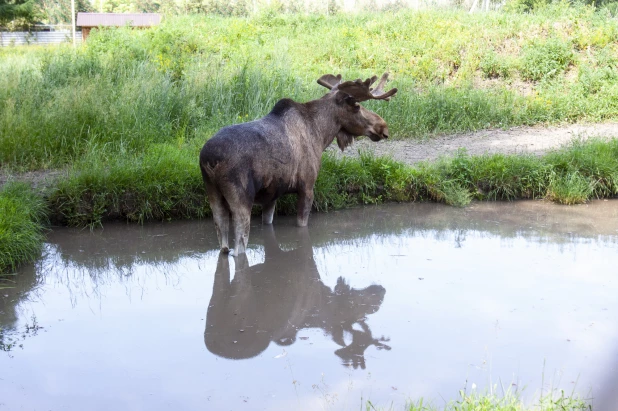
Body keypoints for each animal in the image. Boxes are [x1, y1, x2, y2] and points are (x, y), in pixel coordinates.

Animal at [200, 72, 398, 256]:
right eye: (356, 106)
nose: (383, 127)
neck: (321, 134)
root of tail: (209, 160)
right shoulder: (307, 187)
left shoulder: (272, 195)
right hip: (241, 199)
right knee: (238, 247)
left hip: (213, 196)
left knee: (223, 242)